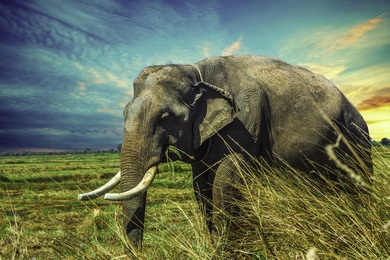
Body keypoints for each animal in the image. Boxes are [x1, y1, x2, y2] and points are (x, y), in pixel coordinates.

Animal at [77, 54, 372, 254]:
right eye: (124, 113)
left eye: (165, 117)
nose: (138, 254)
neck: (196, 70)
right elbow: (201, 186)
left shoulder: (245, 117)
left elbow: (225, 180)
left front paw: (224, 251)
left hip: (357, 136)